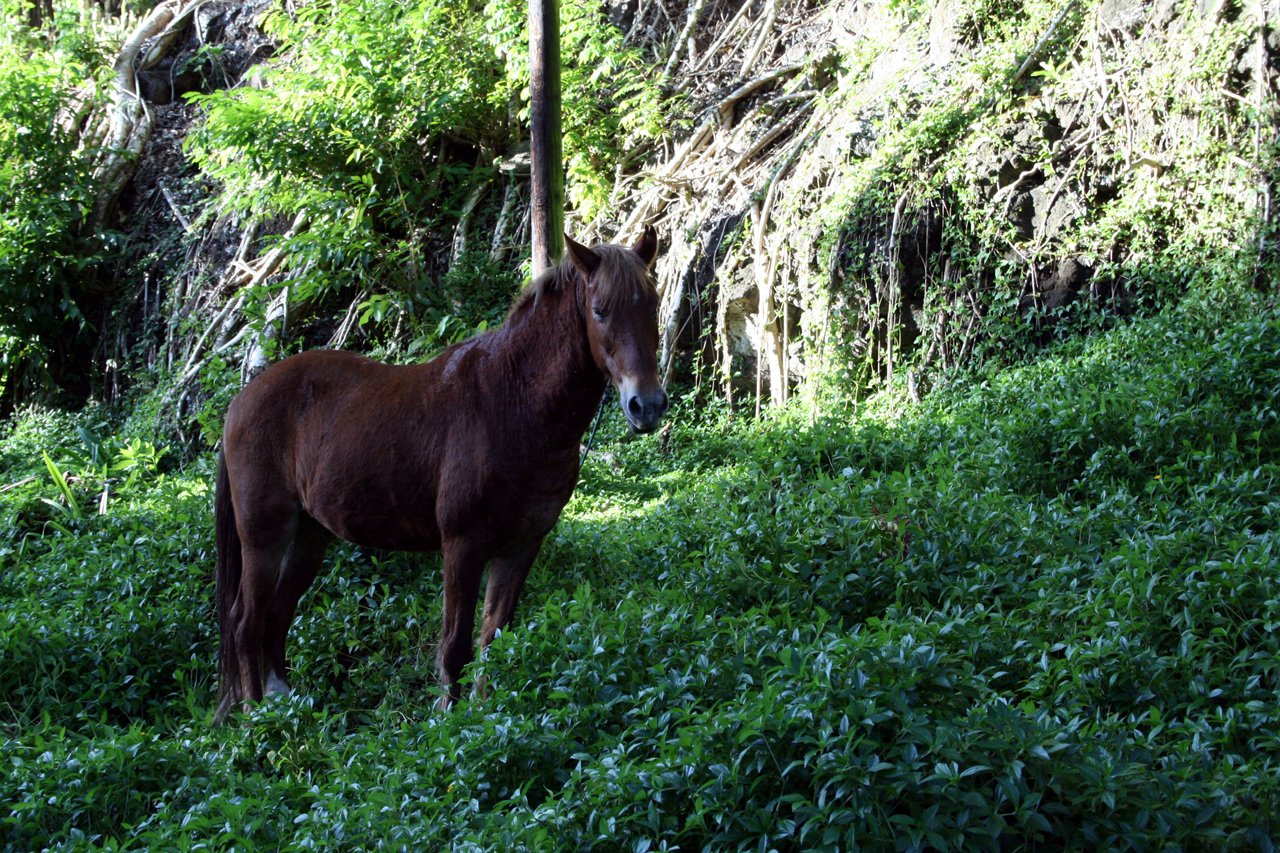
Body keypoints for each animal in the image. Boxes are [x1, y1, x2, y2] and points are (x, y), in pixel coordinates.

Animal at [214, 228, 667, 721]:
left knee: (276, 615)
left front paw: (484, 720)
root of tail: (240, 402)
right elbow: (455, 647)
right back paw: (254, 719)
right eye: (600, 310)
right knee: (246, 621)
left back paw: (285, 707)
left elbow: (493, 639)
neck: (513, 403)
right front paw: (446, 721)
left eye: (653, 303)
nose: (647, 405)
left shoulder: (521, 547)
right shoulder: (463, 545)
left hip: (310, 535)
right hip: (264, 534)